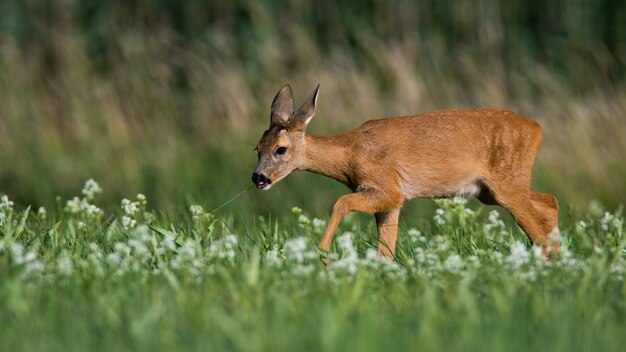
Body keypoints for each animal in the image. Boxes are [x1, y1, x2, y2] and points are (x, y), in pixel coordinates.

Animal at [251, 84, 560, 260]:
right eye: (257, 147)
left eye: (280, 149)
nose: (258, 178)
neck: (351, 155)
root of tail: (536, 129)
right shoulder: (389, 203)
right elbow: (385, 251)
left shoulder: (388, 188)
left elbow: (341, 202)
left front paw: (323, 254)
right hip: (491, 191)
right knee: (549, 202)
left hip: (506, 183)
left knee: (539, 228)